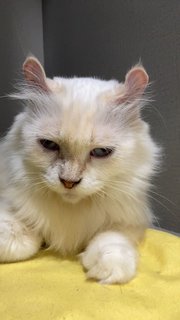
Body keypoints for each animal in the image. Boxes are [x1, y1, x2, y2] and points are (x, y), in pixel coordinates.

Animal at [0, 57, 158, 282]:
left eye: (100, 152)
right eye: (49, 145)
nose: (69, 182)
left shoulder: (129, 221)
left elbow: (111, 239)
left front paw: (108, 270)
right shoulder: (9, 205)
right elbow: (18, 240)